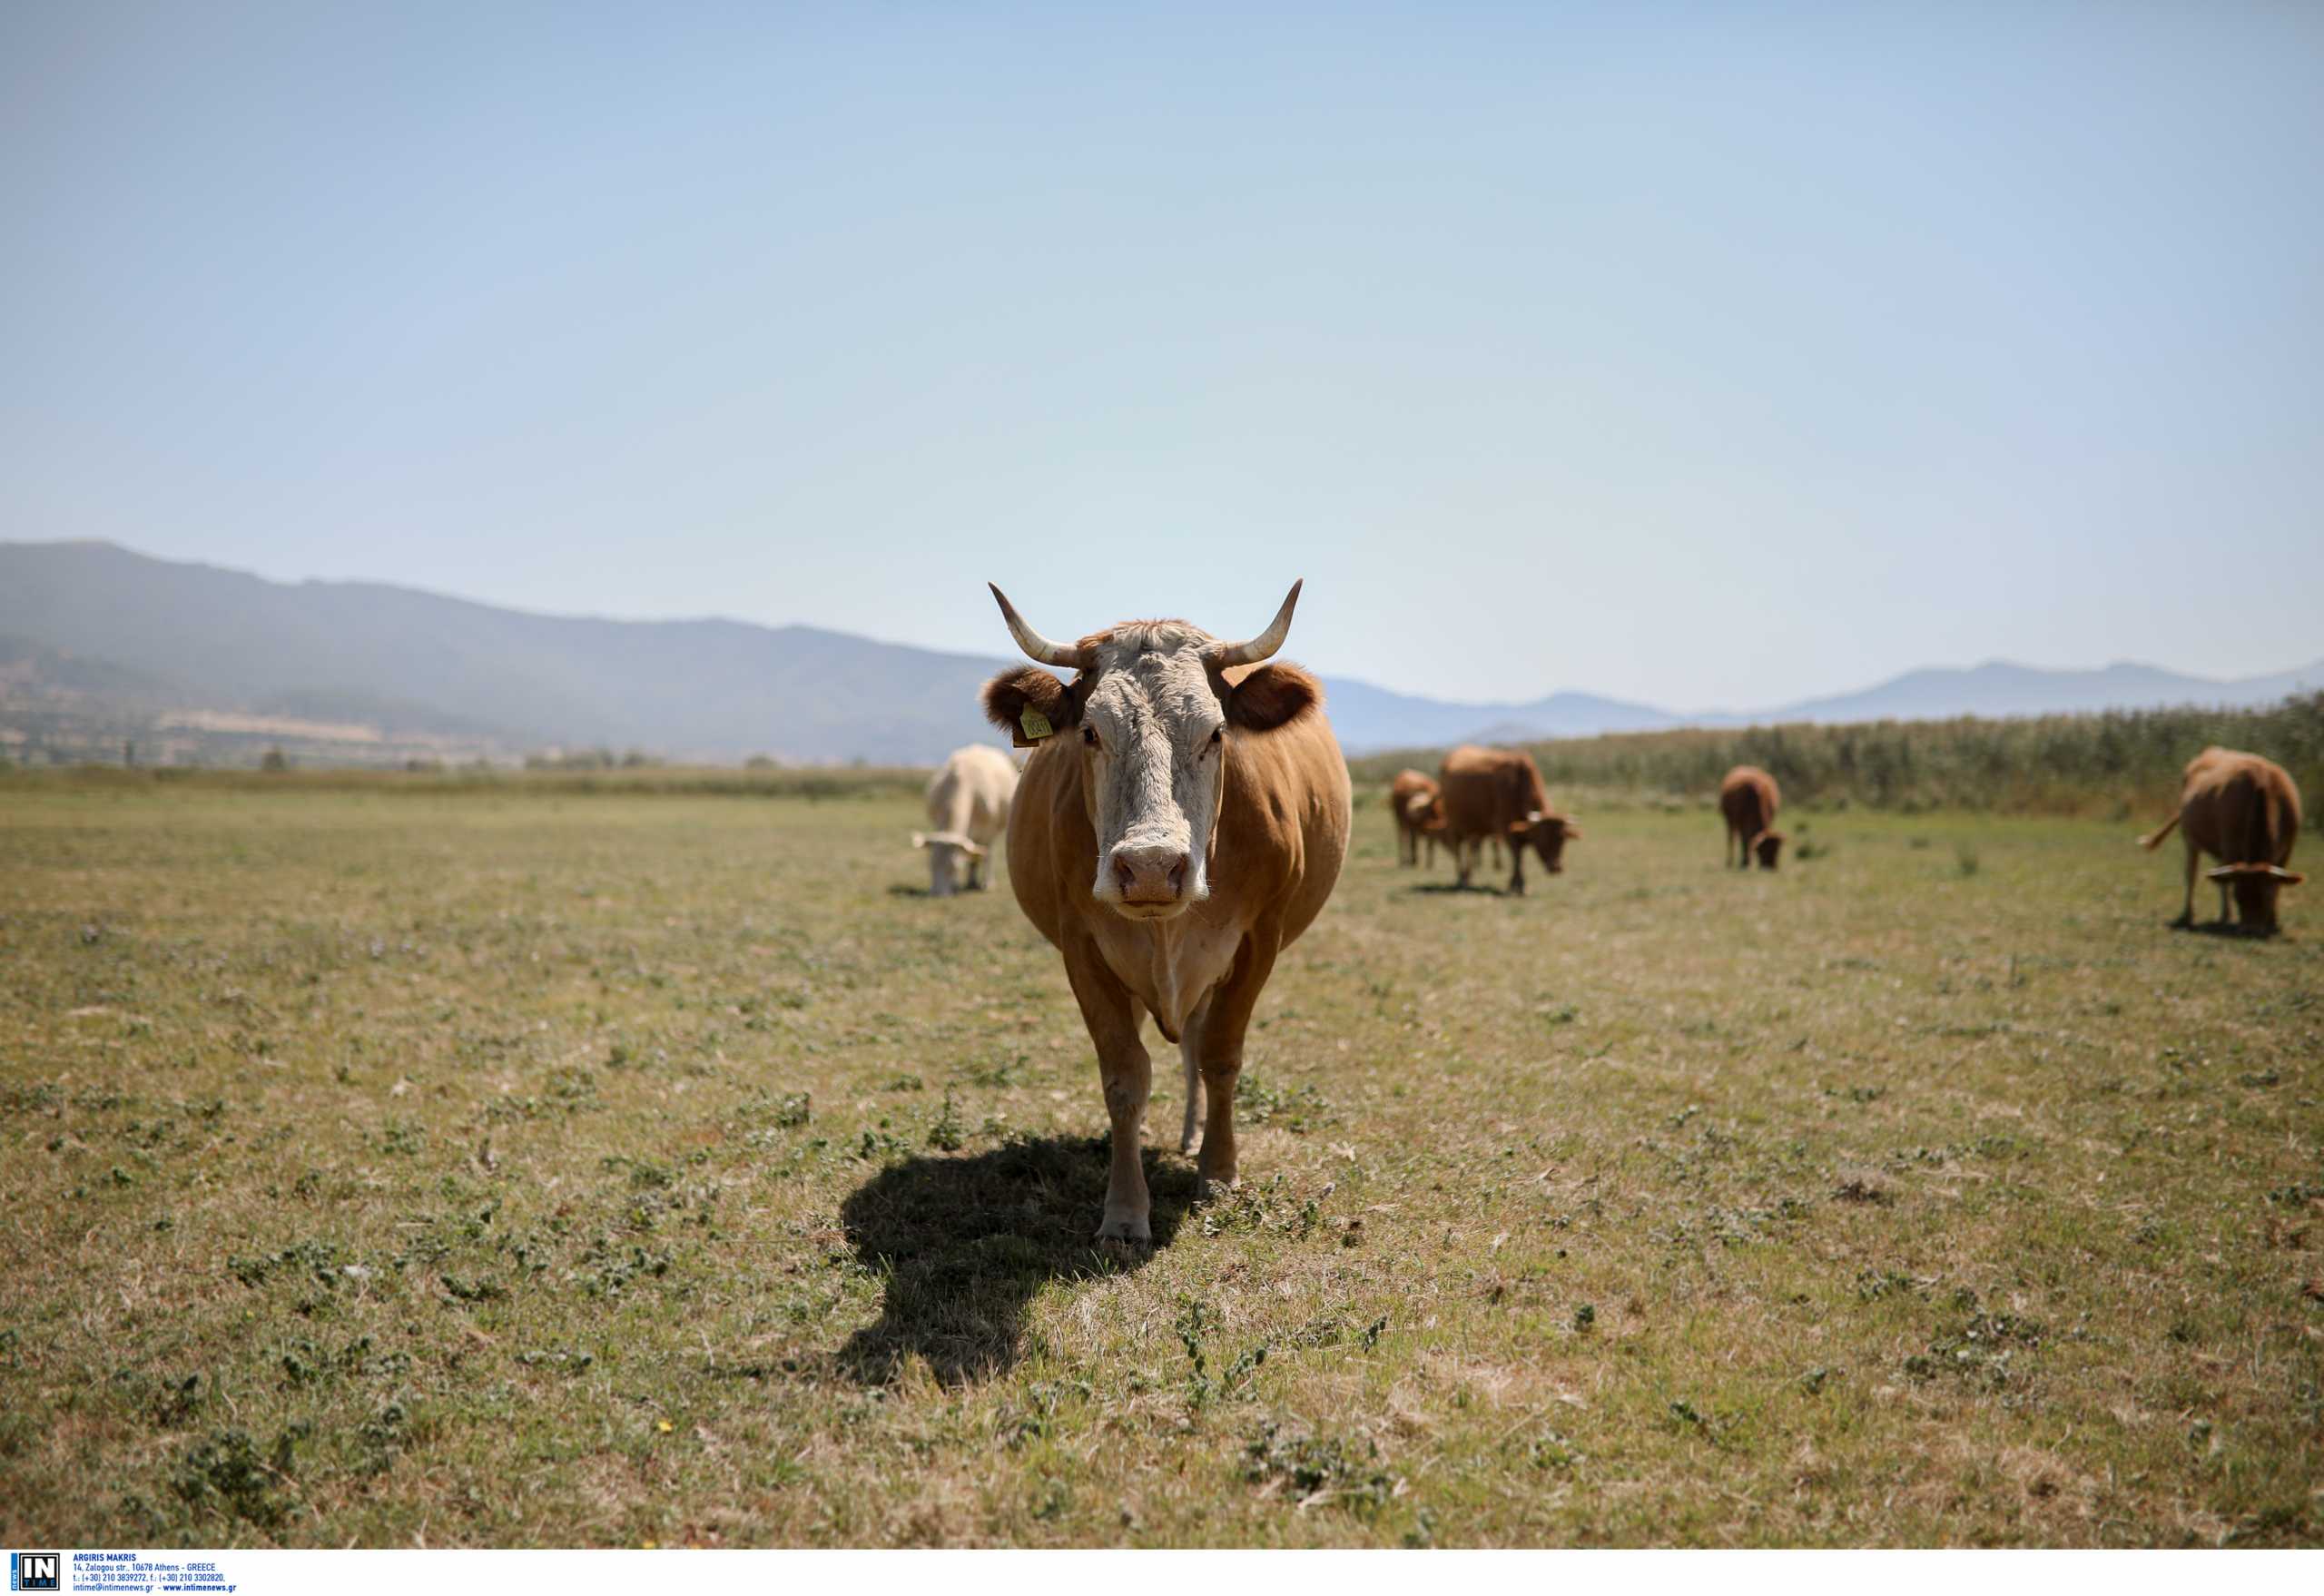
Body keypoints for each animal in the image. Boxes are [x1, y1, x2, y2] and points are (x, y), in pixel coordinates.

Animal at [906, 747, 1018, 901]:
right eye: (930, 865)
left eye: (953, 867)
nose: (936, 894)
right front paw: (957, 885)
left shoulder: (988, 831)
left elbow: (985, 855)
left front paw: (987, 885)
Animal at [976, 580, 1347, 1245]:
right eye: (1090, 732)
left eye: (1216, 733)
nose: (1150, 866)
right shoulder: (1083, 949)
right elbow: (1125, 1078)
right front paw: (1125, 1212)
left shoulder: (1258, 941)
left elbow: (1222, 1057)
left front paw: (1219, 1174)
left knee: (1198, 1044)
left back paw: (1197, 1138)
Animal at [1431, 747, 1580, 892]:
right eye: (1543, 838)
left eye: (1562, 839)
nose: (1556, 867)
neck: (1518, 785)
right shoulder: (1506, 829)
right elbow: (1517, 856)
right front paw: (1518, 885)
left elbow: (1519, 856)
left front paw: (1515, 883)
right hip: (1454, 825)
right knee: (1457, 850)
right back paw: (1461, 878)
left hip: (1474, 826)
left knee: (1471, 849)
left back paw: (1468, 876)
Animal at [2138, 747, 2305, 938]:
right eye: (2238, 896)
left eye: (2264, 897)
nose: (2250, 931)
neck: (2262, 786)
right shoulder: (2230, 846)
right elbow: (2226, 882)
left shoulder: (2287, 852)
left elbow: (2277, 886)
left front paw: (2273, 923)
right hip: (2190, 838)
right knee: (2193, 875)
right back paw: (2191, 915)